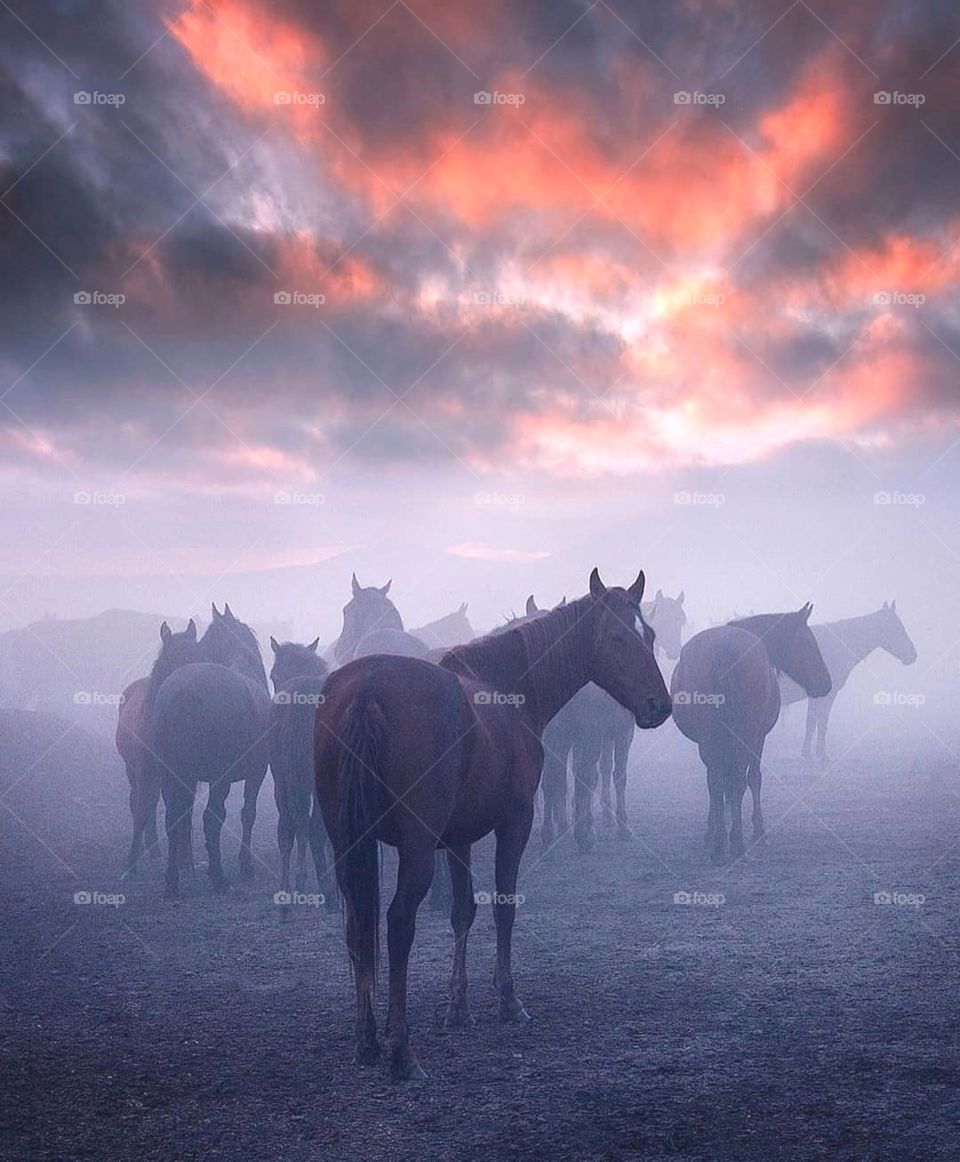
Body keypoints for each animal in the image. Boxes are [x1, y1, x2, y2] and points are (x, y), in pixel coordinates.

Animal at [116, 620, 198, 877]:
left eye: (197, 653)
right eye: (174, 656)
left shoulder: (184, 774)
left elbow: (183, 811)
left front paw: (184, 860)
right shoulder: (145, 770)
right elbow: (142, 808)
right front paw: (131, 864)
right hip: (134, 771)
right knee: (140, 804)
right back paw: (148, 849)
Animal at [155, 604, 272, 897]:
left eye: (204, 641)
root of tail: (182, 694)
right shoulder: (256, 773)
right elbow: (248, 814)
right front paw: (245, 866)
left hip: (170, 775)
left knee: (173, 819)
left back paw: (172, 881)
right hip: (219, 779)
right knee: (211, 818)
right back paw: (218, 877)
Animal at [314, 568, 671, 1080]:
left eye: (651, 635)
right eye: (619, 637)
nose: (659, 705)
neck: (506, 685)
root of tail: (368, 687)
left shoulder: (459, 838)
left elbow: (463, 912)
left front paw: (458, 1006)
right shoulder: (514, 823)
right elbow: (504, 908)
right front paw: (508, 1000)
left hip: (350, 844)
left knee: (356, 924)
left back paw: (366, 1040)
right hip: (416, 850)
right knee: (398, 923)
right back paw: (402, 1051)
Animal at [671, 604, 831, 864]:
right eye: (807, 643)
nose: (825, 683)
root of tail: (723, 652)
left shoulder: (714, 743)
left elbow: (722, 786)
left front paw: (713, 828)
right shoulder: (758, 737)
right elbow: (753, 779)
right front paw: (758, 829)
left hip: (711, 738)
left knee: (716, 782)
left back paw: (720, 844)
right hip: (743, 734)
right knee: (738, 781)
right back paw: (736, 841)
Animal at [779, 601, 917, 761]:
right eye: (897, 628)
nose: (913, 655)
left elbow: (821, 723)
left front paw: (819, 753)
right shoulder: (821, 695)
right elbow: (813, 722)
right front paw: (810, 754)